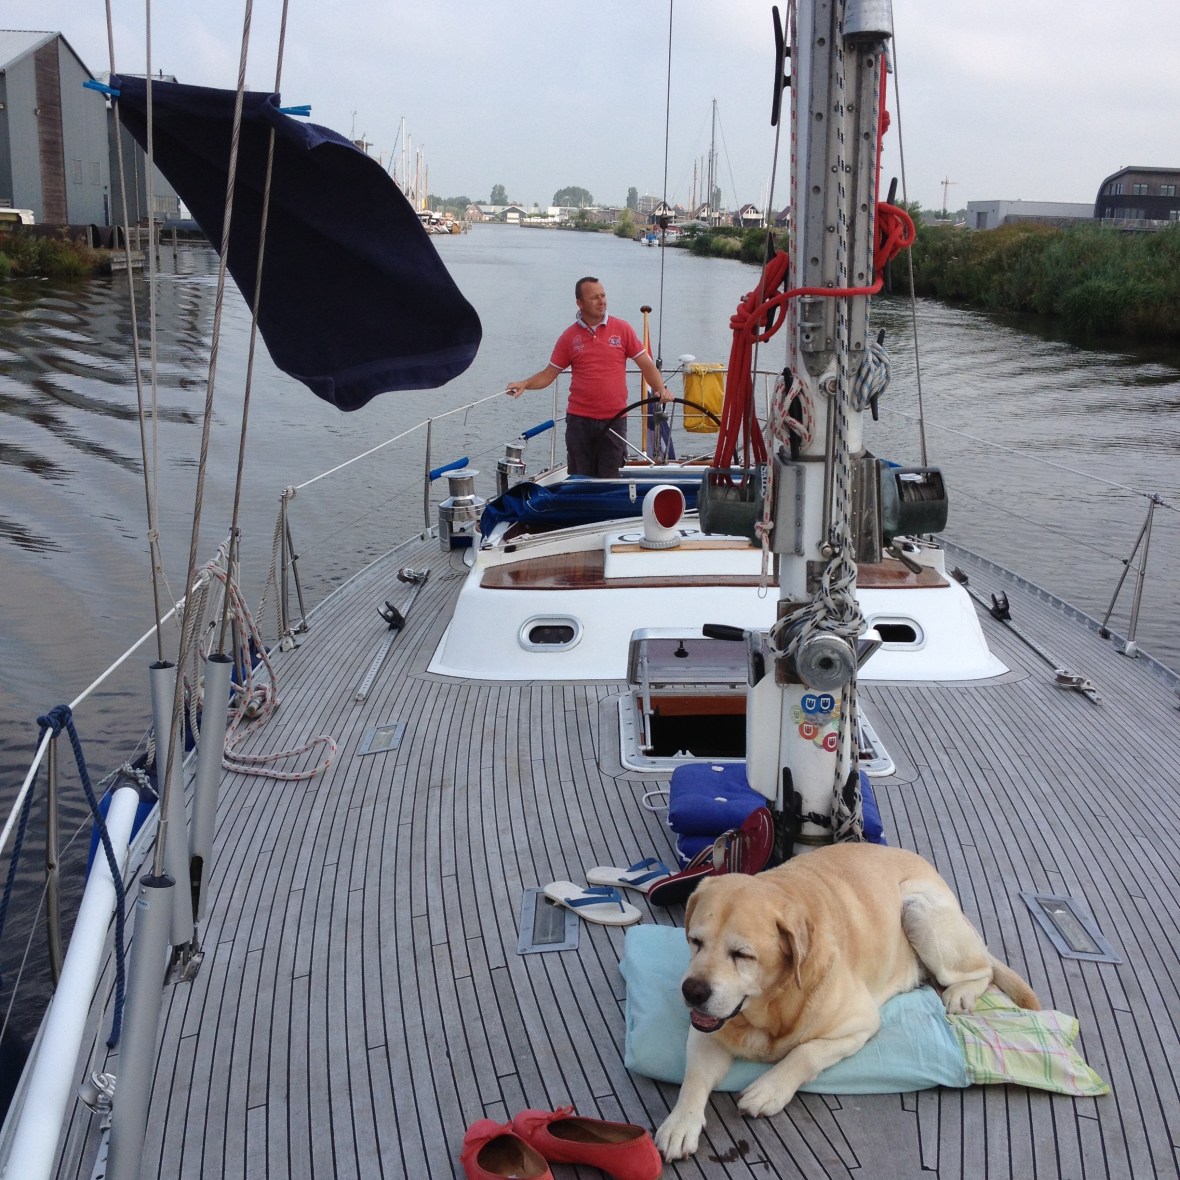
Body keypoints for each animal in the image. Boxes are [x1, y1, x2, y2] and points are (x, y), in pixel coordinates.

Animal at [654, 842, 1039, 1161]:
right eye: (695, 941)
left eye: (742, 955)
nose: (692, 991)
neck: (772, 1004)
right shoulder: (707, 1031)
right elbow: (694, 1077)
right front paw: (680, 1123)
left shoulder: (859, 1023)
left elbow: (806, 1053)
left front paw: (768, 1089)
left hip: (918, 909)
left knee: (982, 968)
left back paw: (961, 992)